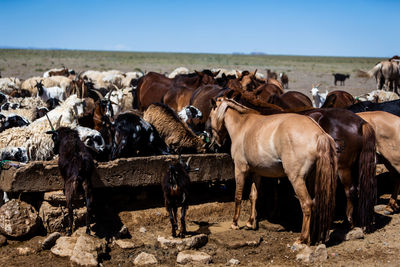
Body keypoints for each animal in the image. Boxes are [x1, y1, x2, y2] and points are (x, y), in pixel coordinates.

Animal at [209, 98, 338, 245]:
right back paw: (312, 237)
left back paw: (302, 239)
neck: (242, 126)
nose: (216, 143)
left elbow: (238, 196)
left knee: (307, 204)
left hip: (297, 180)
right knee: (315, 203)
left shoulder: (240, 170)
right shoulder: (256, 173)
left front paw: (235, 223)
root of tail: (319, 133)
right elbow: (253, 195)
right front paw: (250, 222)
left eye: (210, 116)